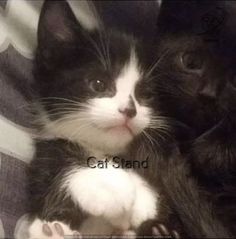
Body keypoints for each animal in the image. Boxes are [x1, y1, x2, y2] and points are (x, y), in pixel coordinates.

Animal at [27, 0, 177, 238]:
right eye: (98, 84)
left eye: (146, 95)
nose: (129, 110)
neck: (103, 150)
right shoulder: (40, 166)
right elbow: (52, 172)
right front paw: (111, 186)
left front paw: (144, 196)